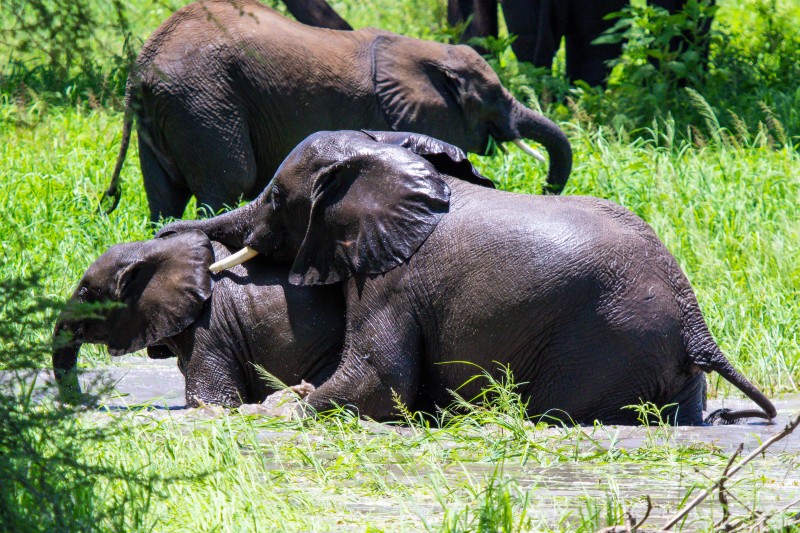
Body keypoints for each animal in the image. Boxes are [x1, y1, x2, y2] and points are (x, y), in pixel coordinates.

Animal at [103, 0, 572, 222]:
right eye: (491, 97)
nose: (544, 189)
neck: (420, 51)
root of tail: (141, 68)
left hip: (169, 112)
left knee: (164, 197)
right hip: (203, 104)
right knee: (227, 183)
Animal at [156, 131, 776, 426]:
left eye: (277, 199)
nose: (167, 237)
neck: (384, 160)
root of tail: (697, 325)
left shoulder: (392, 280)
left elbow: (377, 381)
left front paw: (276, 408)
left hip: (608, 341)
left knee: (555, 410)